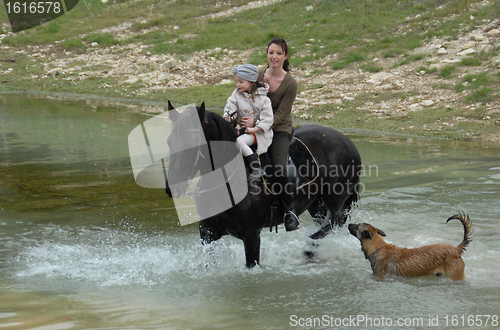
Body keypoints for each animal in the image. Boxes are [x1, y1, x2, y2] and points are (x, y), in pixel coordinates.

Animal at [166, 102, 362, 266]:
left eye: (192, 143)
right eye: (169, 142)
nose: (172, 187)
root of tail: (347, 142)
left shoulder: (251, 234)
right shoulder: (207, 232)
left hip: (336, 199)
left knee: (335, 221)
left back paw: (312, 238)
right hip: (316, 204)